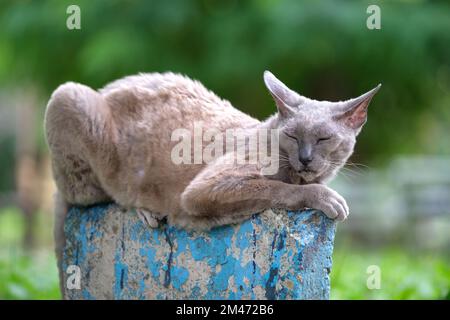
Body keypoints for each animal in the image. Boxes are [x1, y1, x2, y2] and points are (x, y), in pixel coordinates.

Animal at [45, 70, 378, 292]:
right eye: (294, 136)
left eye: (324, 139)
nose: (306, 158)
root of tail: (107, 87)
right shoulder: (204, 189)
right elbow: (278, 188)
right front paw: (327, 197)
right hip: (68, 96)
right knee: (91, 196)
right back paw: (146, 210)